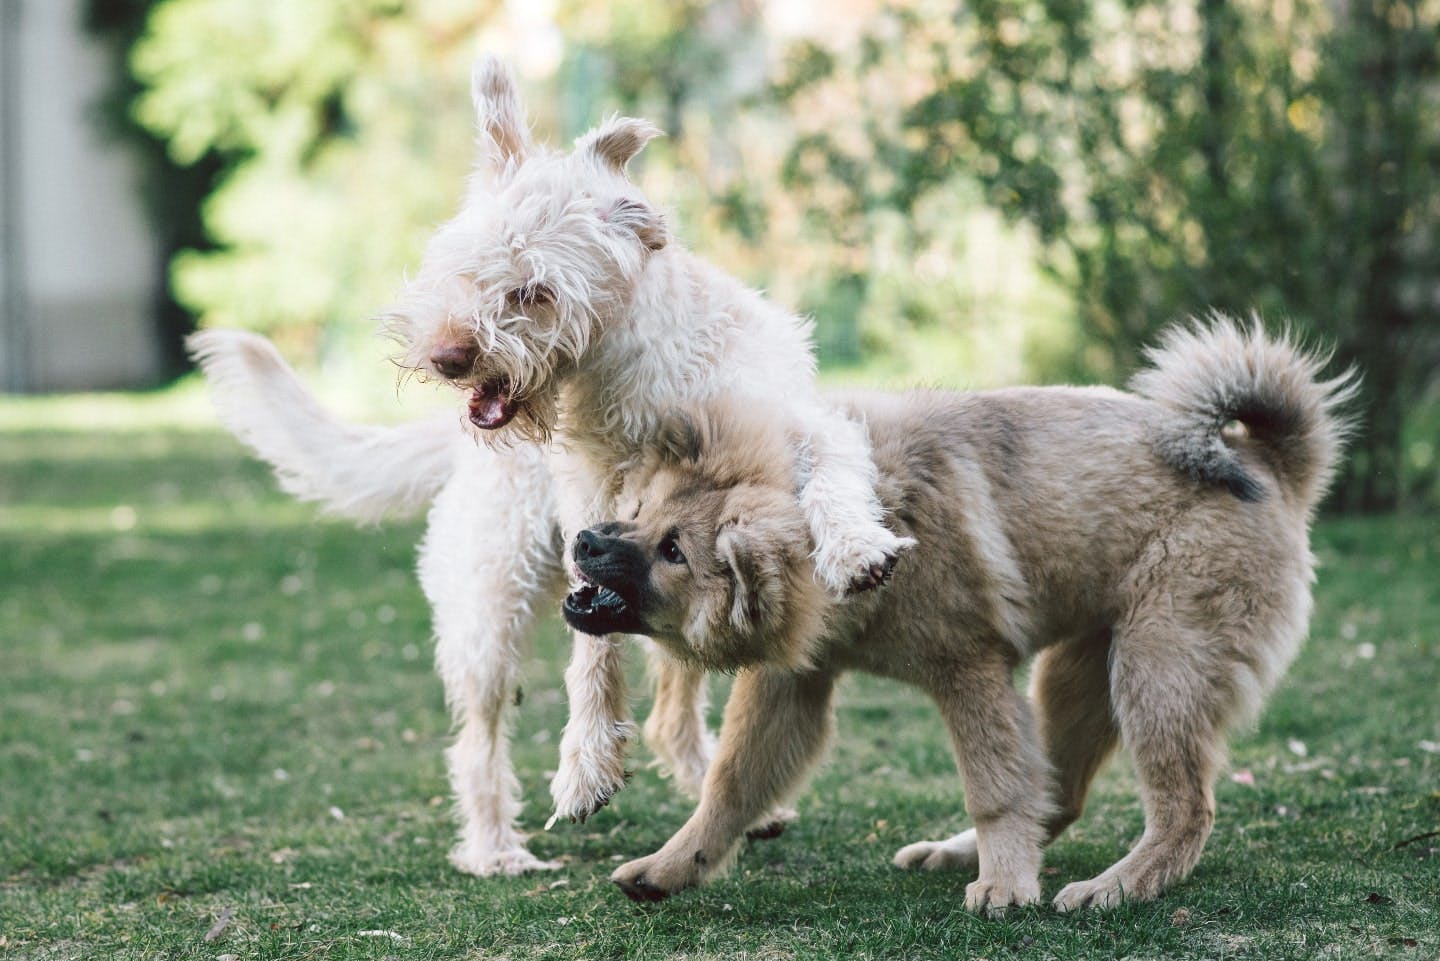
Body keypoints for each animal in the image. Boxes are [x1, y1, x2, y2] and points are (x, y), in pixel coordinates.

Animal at [188, 56, 910, 875]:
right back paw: (495, 848)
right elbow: (591, 655)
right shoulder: (593, 519)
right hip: (488, 613)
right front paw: (586, 764)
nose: (447, 357)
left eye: (534, 290)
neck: (634, 374)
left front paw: (855, 548)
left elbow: (832, 476)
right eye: (459, 270)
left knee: (669, 713)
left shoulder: (798, 433)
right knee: (478, 742)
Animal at [558, 319, 1347, 916]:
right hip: (1079, 671)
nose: (584, 541)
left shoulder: (969, 671)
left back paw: (1114, 885)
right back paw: (959, 853)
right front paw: (670, 866)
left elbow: (993, 787)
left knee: (1182, 809)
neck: (857, 527)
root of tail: (1272, 463)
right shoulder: (793, 688)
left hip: (1157, 666)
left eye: (673, 550)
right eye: (639, 510)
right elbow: (729, 788)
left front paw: (1005, 887)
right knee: (1058, 794)